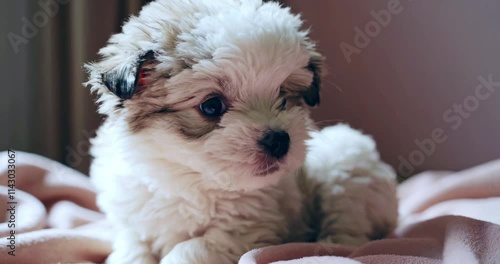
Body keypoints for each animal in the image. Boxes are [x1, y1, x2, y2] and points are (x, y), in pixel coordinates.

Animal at [86, 1, 398, 262]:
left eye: (283, 97)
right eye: (211, 106)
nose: (279, 139)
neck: (187, 179)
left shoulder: (245, 230)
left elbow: (191, 249)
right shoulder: (131, 221)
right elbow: (132, 249)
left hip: (346, 165)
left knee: (349, 226)